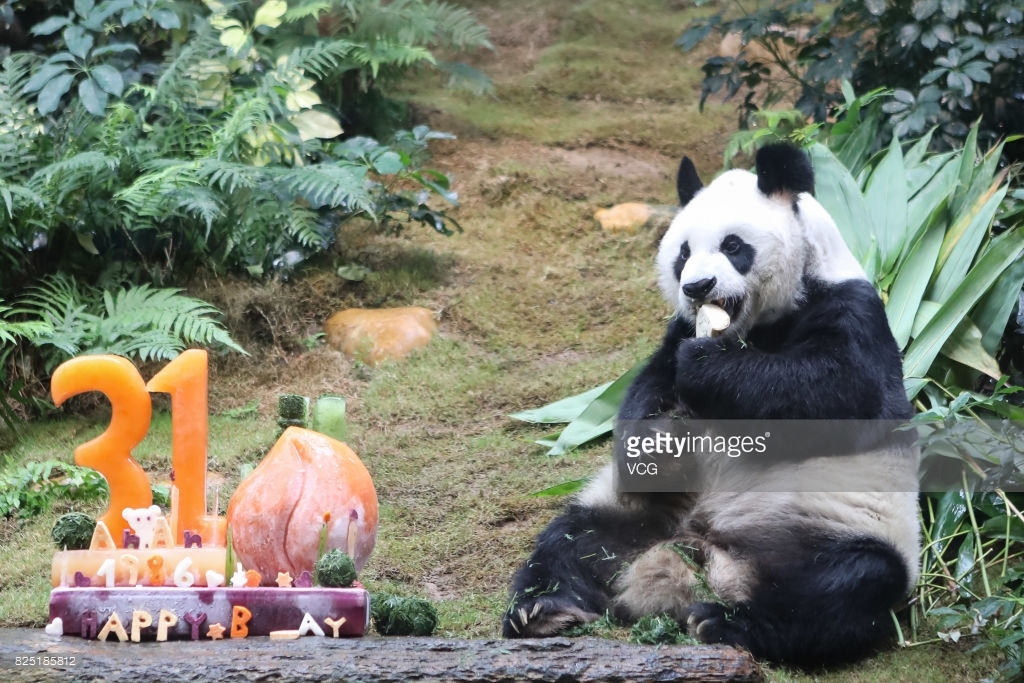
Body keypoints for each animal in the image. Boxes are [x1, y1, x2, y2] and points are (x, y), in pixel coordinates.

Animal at [502, 143, 920, 666]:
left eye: (733, 246)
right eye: (682, 253)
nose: (697, 287)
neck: (752, 329)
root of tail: (704, 559)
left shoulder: (854, 312)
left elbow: (833, 390)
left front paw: (706, 366)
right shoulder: (676, 330)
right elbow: (645, 391)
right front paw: (660, 439)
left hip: (839, 527)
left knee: (848, 586)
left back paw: (725, 622)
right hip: (636, 515)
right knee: (572, 541)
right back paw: (543, 610)